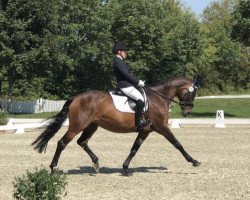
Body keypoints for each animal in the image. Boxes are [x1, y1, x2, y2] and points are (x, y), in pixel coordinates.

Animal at [31, 76, 203, 176]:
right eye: (193, 93)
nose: (187, 112)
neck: (158, 98)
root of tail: (76, 98)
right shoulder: (162, 128)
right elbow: (177, 144)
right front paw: (194, 161)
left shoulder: (145, 131)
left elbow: (134, 149)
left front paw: (126, 168)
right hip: (77, 126)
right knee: (62, 142)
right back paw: (53, 168)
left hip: (92, 126)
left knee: (82, 142)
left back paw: (96, 163)